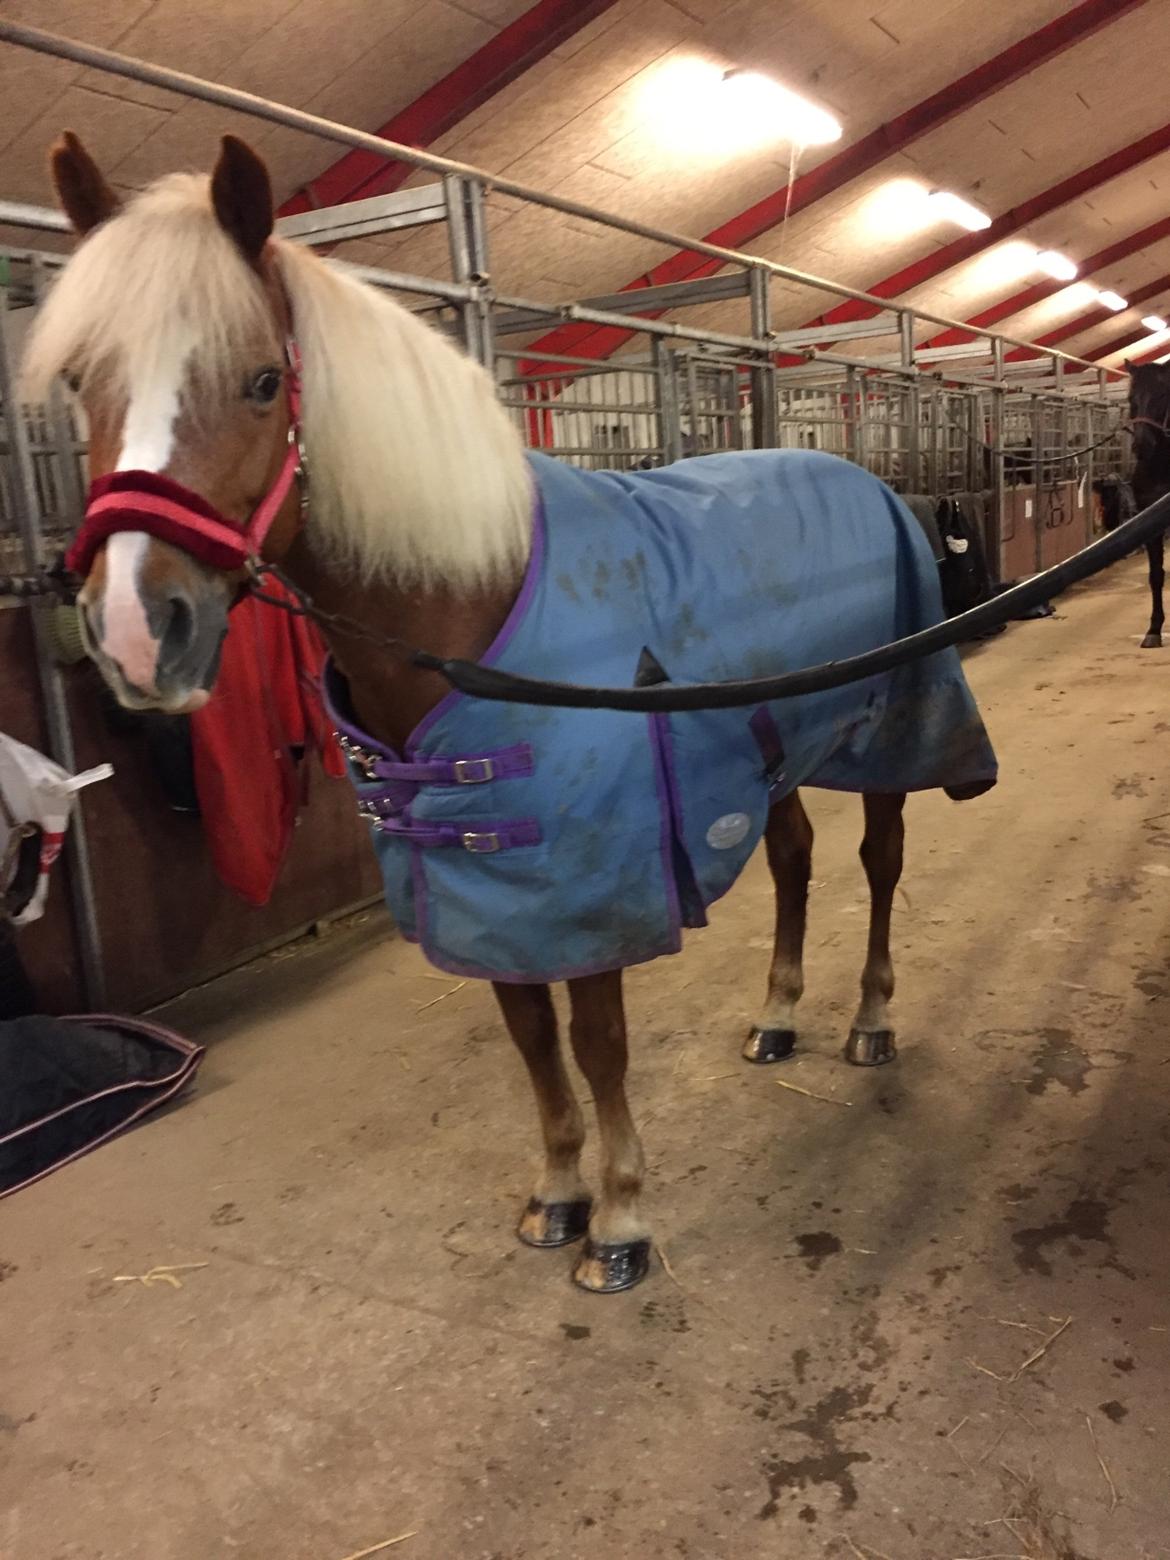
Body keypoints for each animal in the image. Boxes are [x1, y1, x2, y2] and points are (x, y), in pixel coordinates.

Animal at [27, 134, 998, 1297]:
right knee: (796, 859)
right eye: (81, 383)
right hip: (767, 753)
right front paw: (557, 1198)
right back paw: (775, 1017)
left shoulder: (591, 889)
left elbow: (599, 1041)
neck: (470, 601)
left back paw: (868, 1022)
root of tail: (864, 475)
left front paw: (619, 1223)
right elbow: (532, 1039)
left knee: (879, 863)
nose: (135, 632)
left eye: (262, 382)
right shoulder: (488, 894)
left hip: (893, 737)